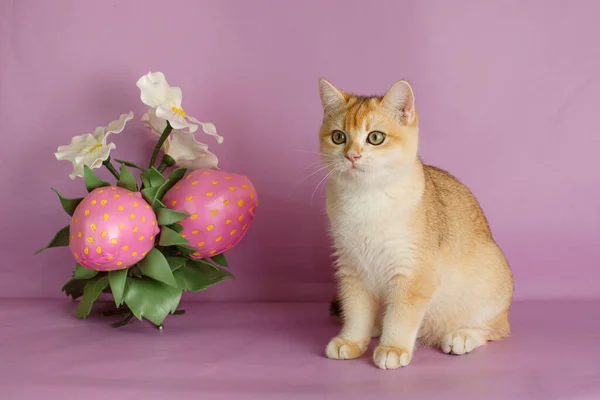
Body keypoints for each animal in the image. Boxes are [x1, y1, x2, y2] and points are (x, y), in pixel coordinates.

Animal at [316, 79, 512, 370]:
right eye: (338, 137)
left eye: (375, 137)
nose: (352, 156)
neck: (365, 199)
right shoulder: (352, 268)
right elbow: (355, 310)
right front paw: (352, 340)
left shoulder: (413, 271)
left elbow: (400, 315)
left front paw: (393, 348)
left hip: (490, 279)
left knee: (497, 329)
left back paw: (463, 336)